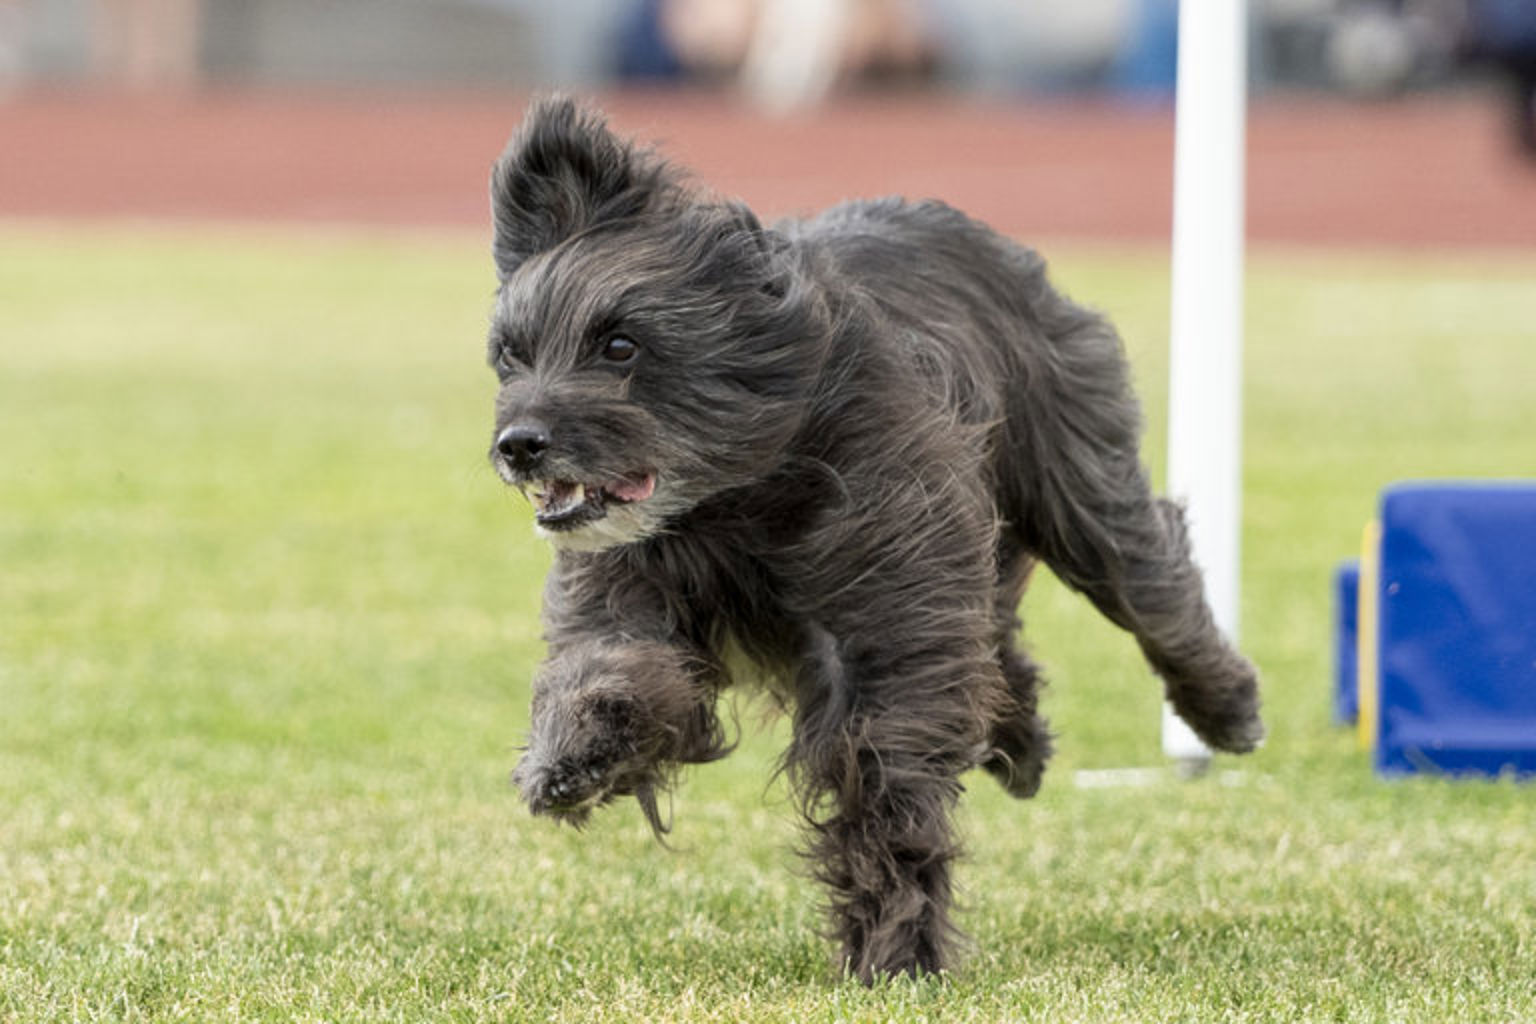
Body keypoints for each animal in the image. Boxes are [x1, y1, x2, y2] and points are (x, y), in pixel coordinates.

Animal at [485, 98, 1265, 982]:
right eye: (511, 355)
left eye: (621, 345)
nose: (518, 444)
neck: (739, 497)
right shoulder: (630, 581)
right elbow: (609, 666)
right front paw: (574, 757)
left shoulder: (887, 600)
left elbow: (883, 767)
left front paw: (896, 944)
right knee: (998, 635)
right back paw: (1021, 740)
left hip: (1074, 473)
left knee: (1147, 576)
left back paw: (1225, 707)